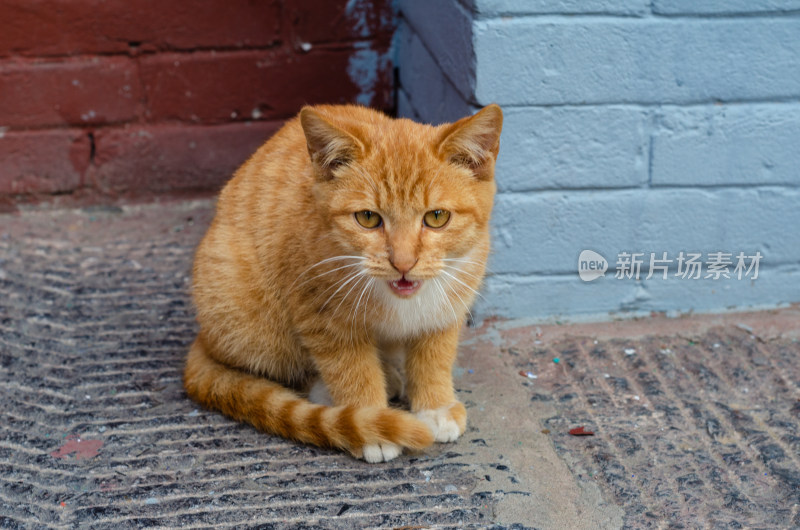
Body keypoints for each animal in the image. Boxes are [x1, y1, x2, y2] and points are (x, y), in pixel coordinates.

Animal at [184, 102, 504, 458]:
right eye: (368, 218)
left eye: (437, 217)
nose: (403, 263)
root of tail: (203, 337)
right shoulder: (320, 314)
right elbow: (351, 368)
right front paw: (372, 423)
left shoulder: (450, 302)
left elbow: (435, 356)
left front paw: (435, 406)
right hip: (251, 319)